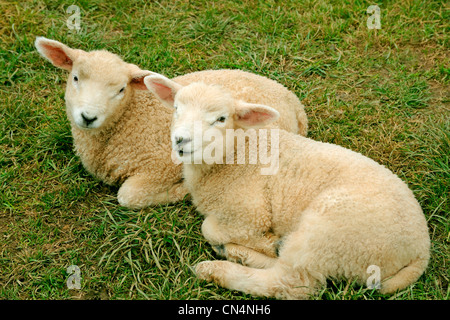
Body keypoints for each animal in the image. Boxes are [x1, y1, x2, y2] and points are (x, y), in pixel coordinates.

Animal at [35, 37, 310, 209]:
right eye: (75, 78)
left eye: (121, 89)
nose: (88, 117)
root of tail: (294, 104)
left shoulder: (159, 167)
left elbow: (128, 196)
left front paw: (180, 191)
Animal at [145, 74, 432, 298]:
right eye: (176, 108)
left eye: (221, 119)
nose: (181, 140)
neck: (236, 155)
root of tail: (420, 251)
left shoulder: (249, 213)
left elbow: (209, 227)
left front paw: (263, 241)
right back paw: (238, 253)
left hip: (331, 231)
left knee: (290, 284)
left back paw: (218, 268)